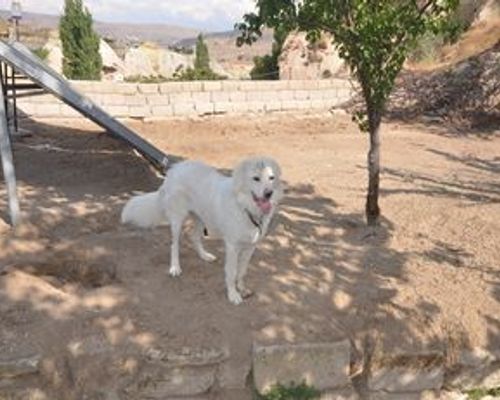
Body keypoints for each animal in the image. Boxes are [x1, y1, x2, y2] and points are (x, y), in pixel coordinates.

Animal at [121, 158, 284, 304]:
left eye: (271, 178)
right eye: (256, 178)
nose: (268, 193)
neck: (245, 206)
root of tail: (174, 169)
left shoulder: (250, 247)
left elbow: (242, 271)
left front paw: (242, 288)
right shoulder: (232, 247)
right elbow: (231, 272)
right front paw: (233, 295)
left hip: (201, 218)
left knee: (194, 237)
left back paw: (205, 256)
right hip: (178, 219)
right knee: (174, 244)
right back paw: (175, 267)